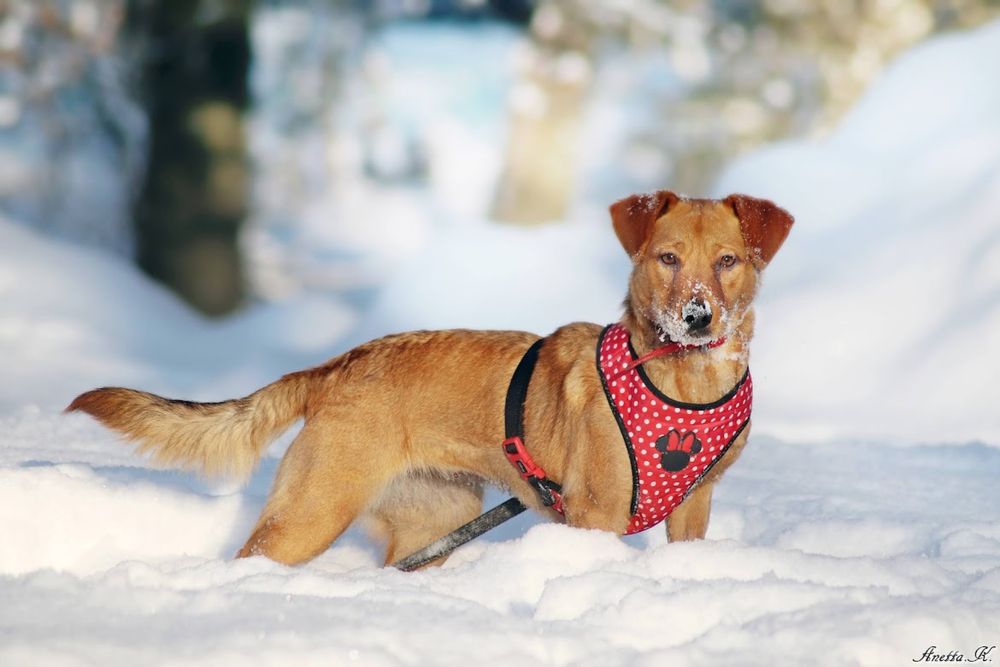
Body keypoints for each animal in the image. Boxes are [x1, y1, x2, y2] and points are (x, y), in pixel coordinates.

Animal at [66, 192, 792, 568]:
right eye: (667, 257)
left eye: (727, 261)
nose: (696, 318)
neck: (686, 381)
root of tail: (336, 365)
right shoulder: (593, 515)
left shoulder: (695, 506)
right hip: (313, 510)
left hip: (437, 520)